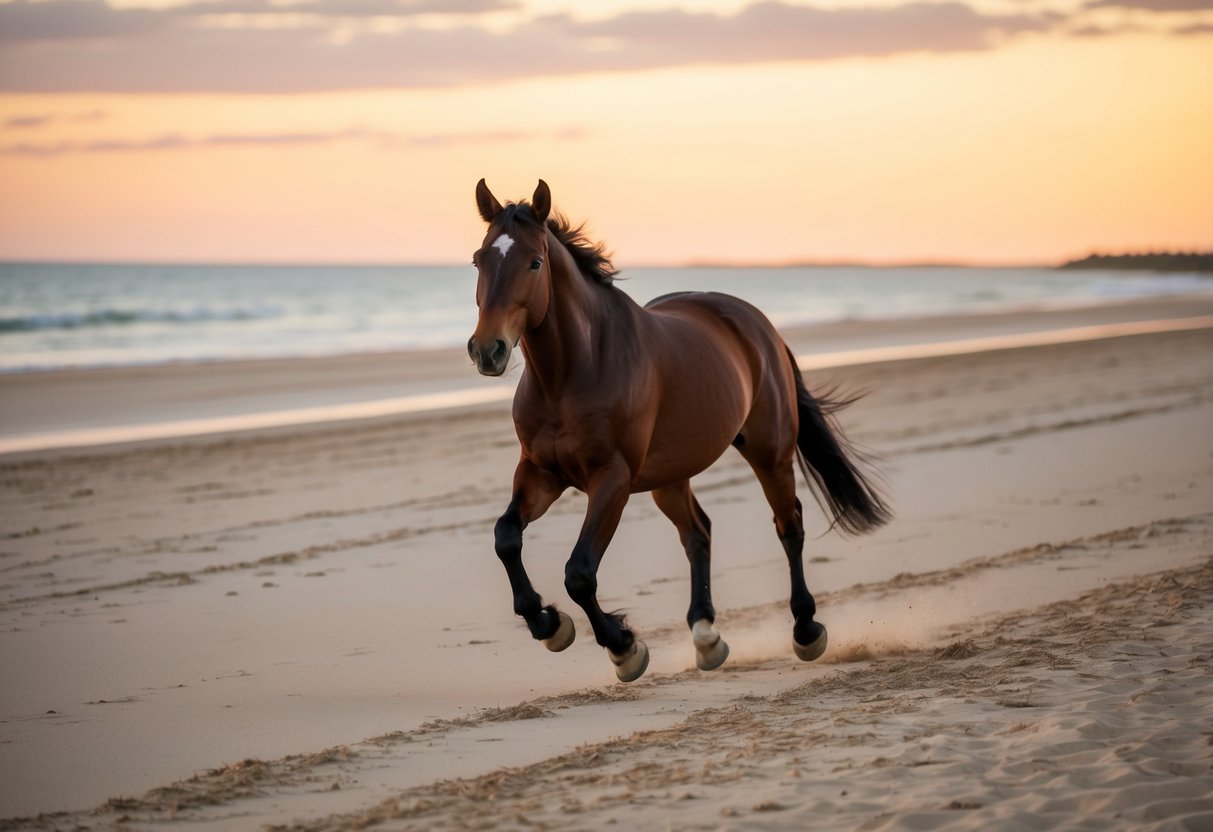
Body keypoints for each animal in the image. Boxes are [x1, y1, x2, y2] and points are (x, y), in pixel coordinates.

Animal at [467, 179, 890, 682]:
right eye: (479, 260)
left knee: (789, 526)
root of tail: (755, 323)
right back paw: (706, 636)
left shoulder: (611, 479)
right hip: (669, 478)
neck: (570, 374)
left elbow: (579, 572)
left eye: (534, 262)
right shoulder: (541, 473)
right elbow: (506, 538)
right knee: (698, 532)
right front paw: (548, 624)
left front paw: (624, 648)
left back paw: (806, 631)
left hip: (770, 453)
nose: (487, 350)